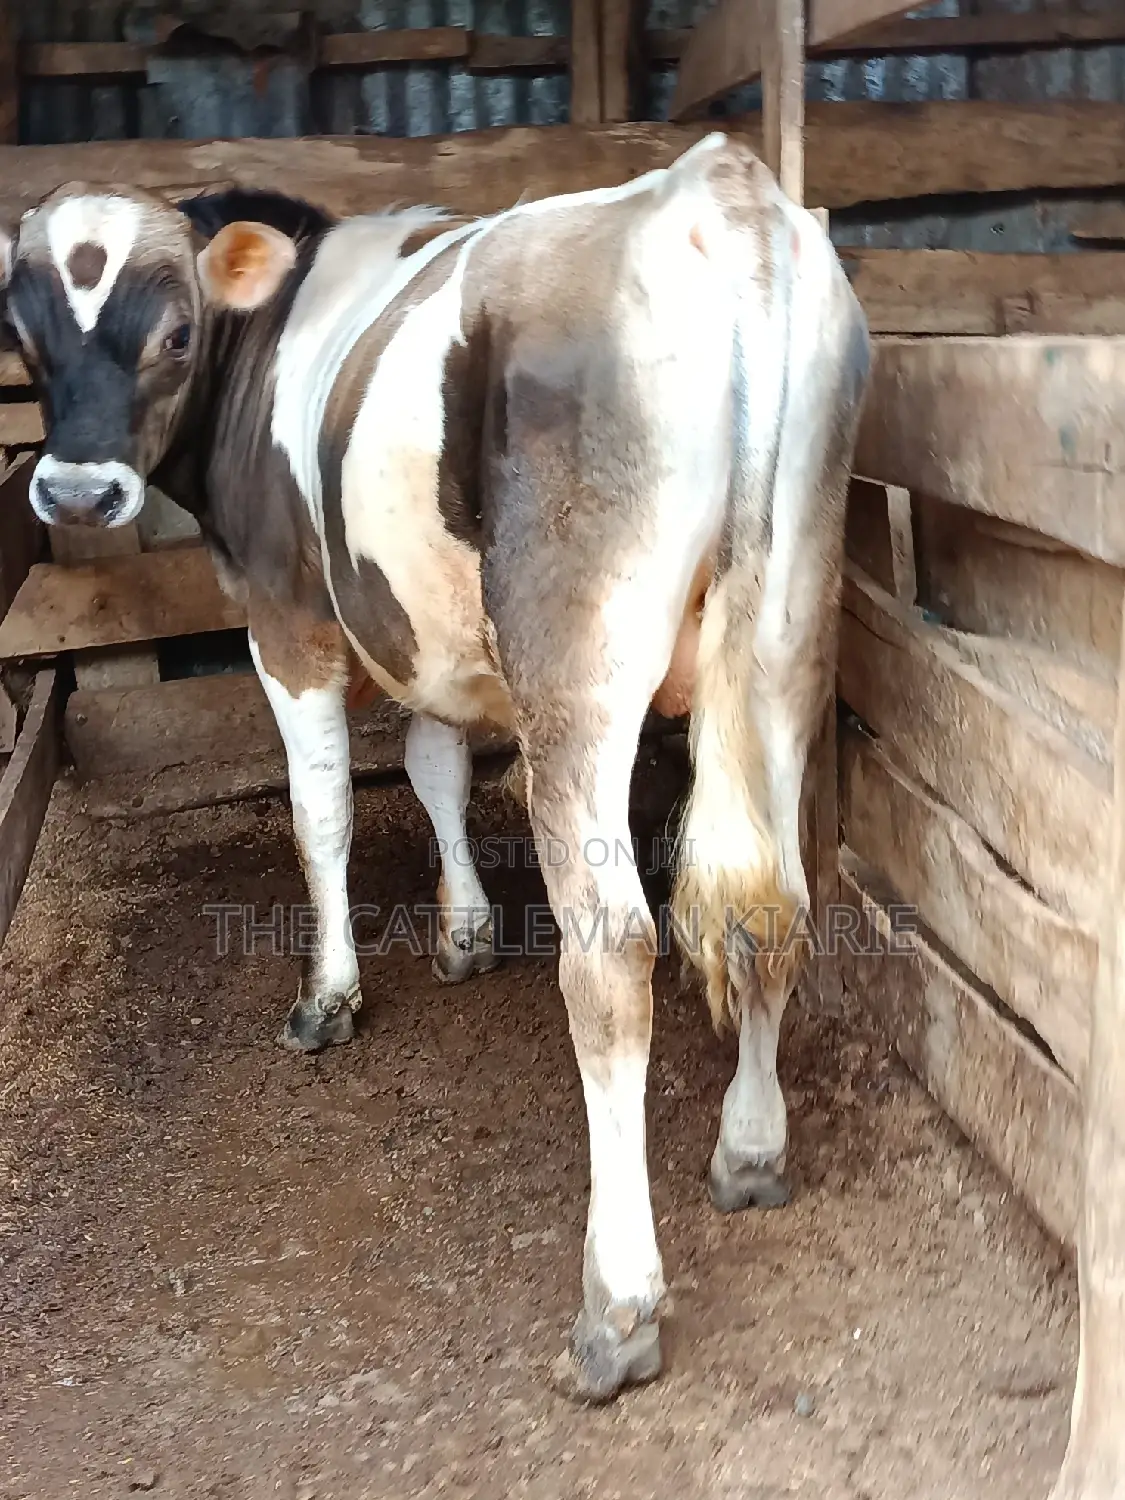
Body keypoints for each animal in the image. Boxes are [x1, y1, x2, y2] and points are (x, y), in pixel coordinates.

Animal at [0, 134, 870, 1401]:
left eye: (174, 331)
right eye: (24, 331)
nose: (73, 493)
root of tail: (723, 187)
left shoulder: (289, 620)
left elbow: (322, 814)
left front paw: (329, 993)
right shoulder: (422, 625)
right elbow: (434, 764)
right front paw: (464, 931)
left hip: (579, 661)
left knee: (614, 952)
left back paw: (616, 1309)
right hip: (788, 635)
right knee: (773, 905)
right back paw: (750, 1149)